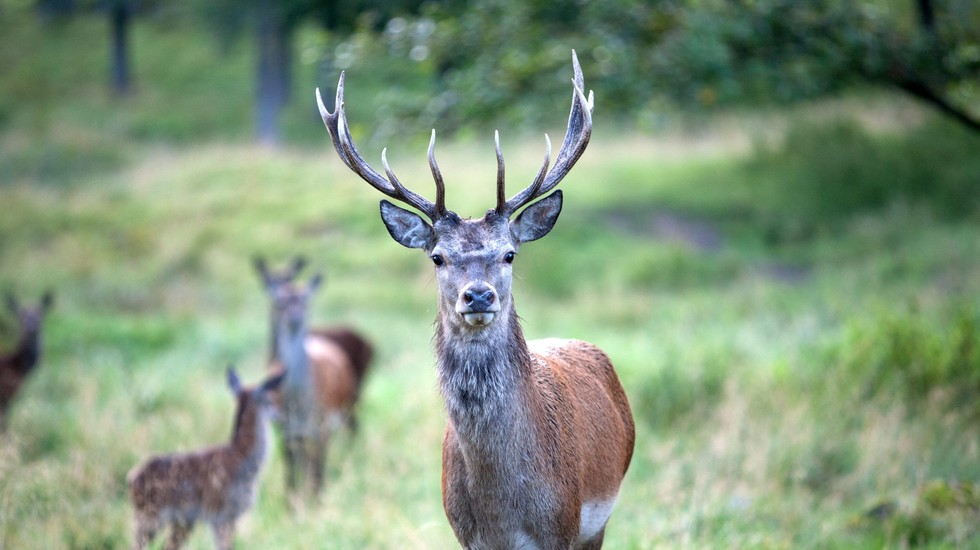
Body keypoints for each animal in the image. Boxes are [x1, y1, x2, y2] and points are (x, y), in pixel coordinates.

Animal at [125, 366, 280, 550]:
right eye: (269, 400)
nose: (280, 415)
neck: (242, 460)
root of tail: (131, 479)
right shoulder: (223, 514)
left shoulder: (221, 517)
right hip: (151, 516)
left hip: (179, 519)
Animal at [256, 268, 368, 504]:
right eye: (280, 301)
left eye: (305, 299)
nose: (294, 316)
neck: (300, 403)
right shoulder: (286, 428)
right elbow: (290, 474)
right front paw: (291, 504)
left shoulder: (323, 425)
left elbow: (318, 471)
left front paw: (317, 502)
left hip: (347, 407)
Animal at [314, 50, 636, 548]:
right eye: (437, 257)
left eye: (509, 253)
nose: (479, 295)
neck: (503, 511)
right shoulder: (465, 534)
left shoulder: (563, 528)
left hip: (599, 520)